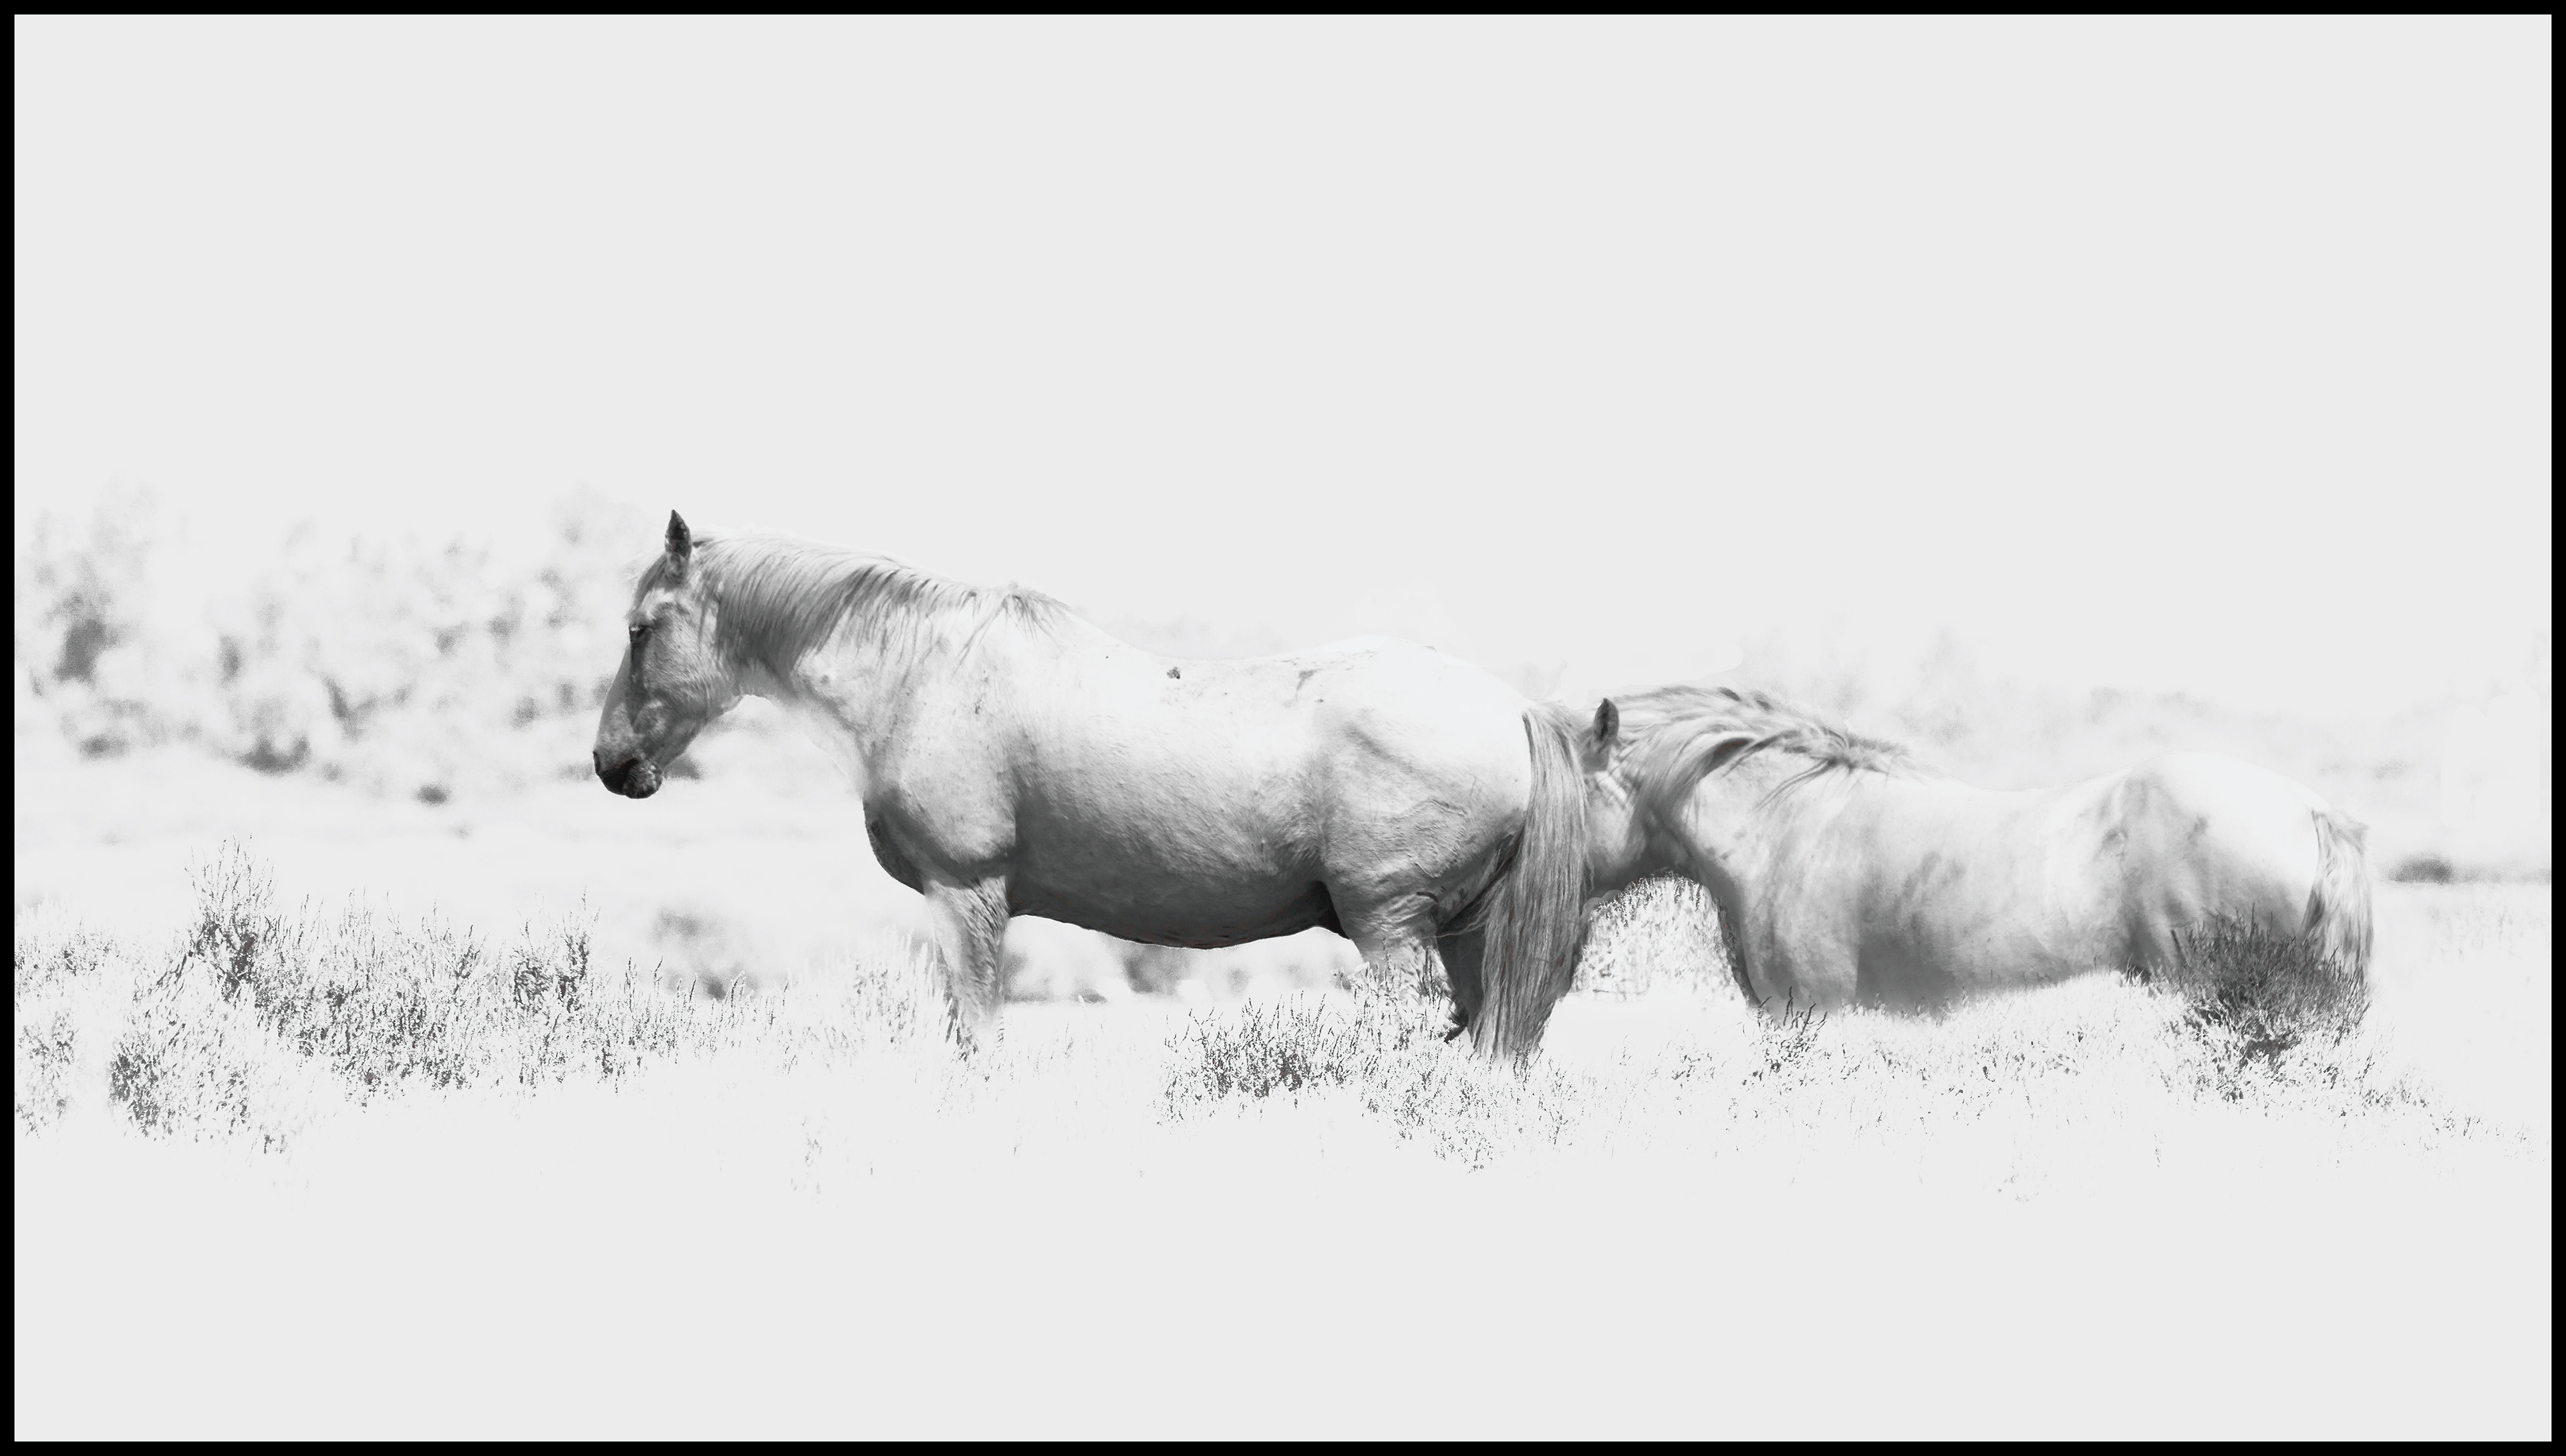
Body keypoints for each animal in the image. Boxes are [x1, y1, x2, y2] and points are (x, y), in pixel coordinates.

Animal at [591, 512, 1590, 1061]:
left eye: (641, 629)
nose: (611, 762)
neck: (923, 671)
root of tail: (1511, 709)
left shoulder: (967, 897)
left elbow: (977, 1039)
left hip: (1392, 927)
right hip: (1462, 933)